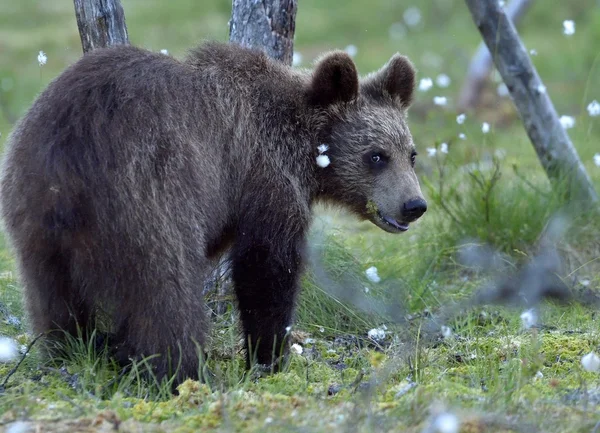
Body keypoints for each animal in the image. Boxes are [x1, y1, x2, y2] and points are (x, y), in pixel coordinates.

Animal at [0, 40, 426, 384]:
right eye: (376, 156)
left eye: (410, 154)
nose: (414, 205)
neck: (303, 147)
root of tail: (69, 150)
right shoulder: (265, 177)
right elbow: (266, 267)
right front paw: (269, 358)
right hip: (148, 190)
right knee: (165, 290)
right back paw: (182, 373)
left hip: (32, 206)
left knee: (52, 296)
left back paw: (70, 353)